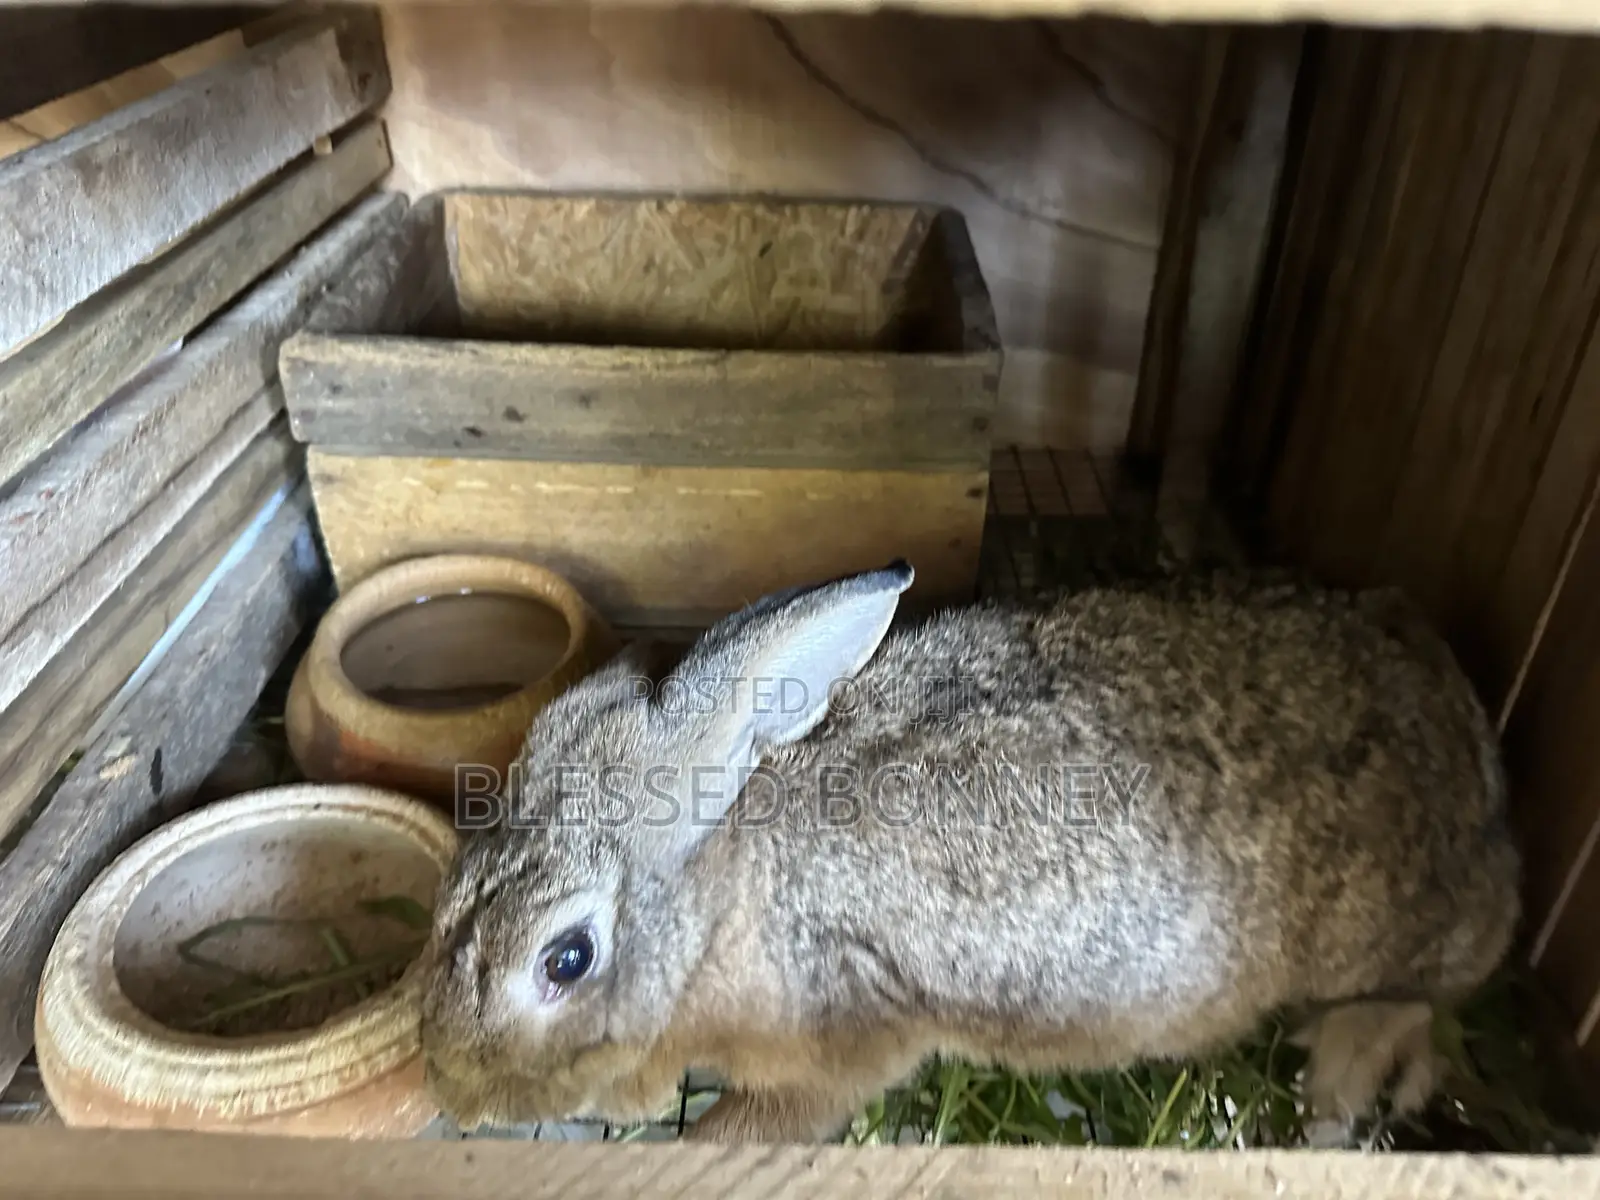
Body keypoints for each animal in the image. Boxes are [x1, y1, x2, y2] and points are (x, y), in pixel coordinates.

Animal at [417, 558, 1522, 1146]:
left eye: (566, 959)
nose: (454, 1091)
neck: (722, 910)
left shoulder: (849, 1036)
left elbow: (774, 1117)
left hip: (1390, 951)